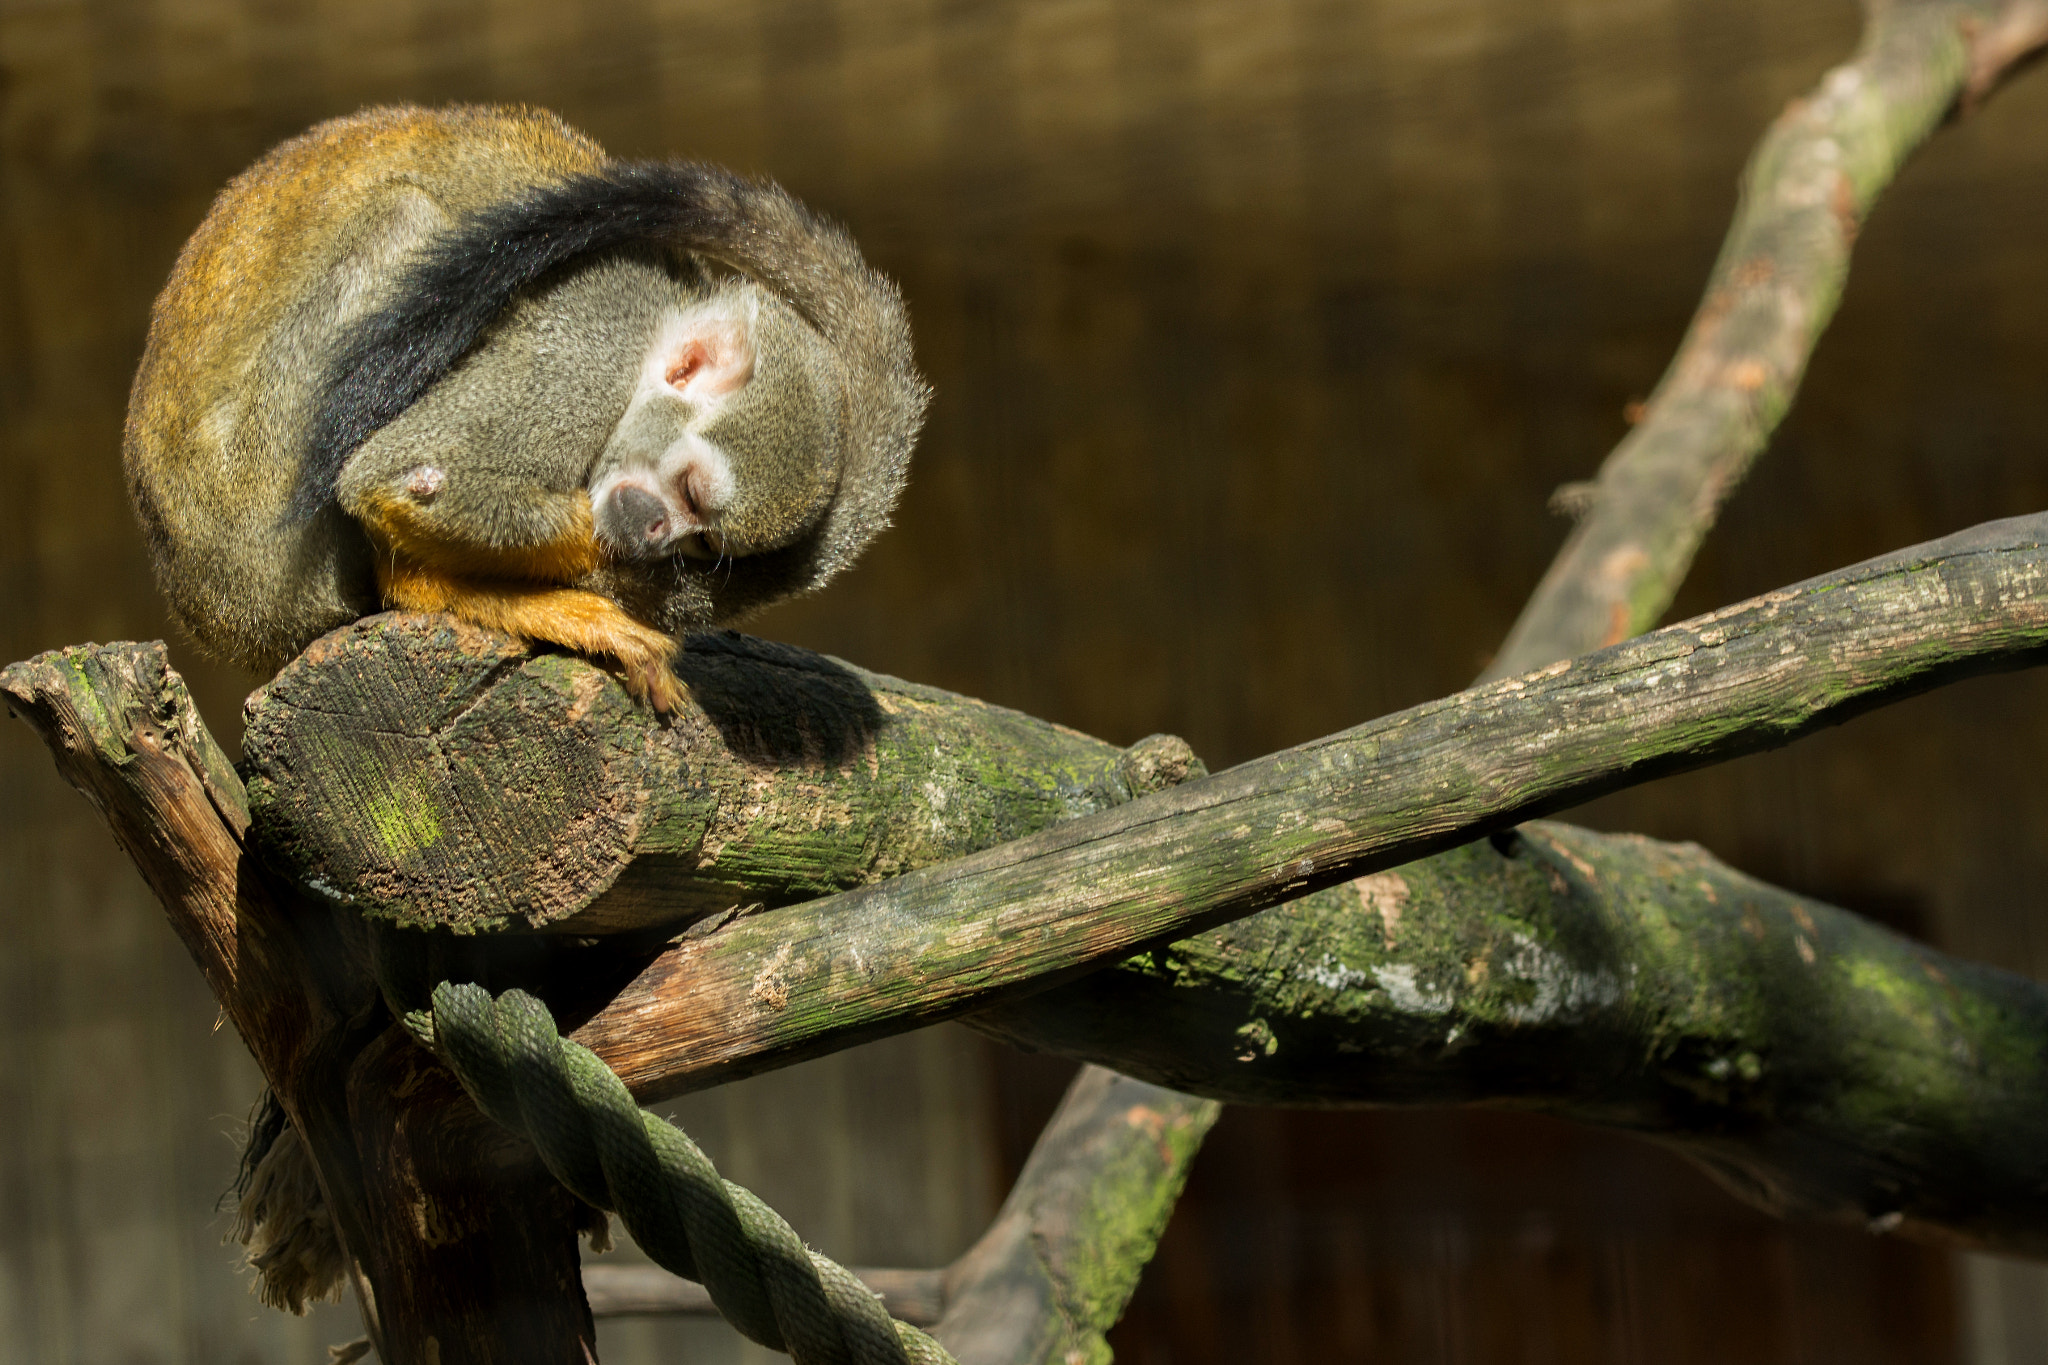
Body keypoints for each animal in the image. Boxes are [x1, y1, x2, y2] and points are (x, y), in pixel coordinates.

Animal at [123, 101, 925, 712]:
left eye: (702, 542)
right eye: (692, 493)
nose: (656, 534)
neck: (664, 315)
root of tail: (218, 612)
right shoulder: (582, 358)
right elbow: (405, 478)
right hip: (260, 503)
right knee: (402, 221)